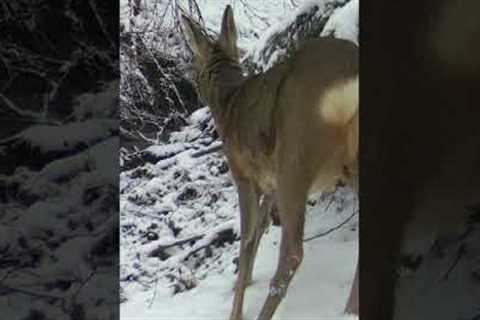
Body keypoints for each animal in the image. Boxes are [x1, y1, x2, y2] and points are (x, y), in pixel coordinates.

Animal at [182, 5, 358, 320]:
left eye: (194, 68)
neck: (229, 103)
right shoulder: (269, 182)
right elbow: (259, 230)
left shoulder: (242, 174)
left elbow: (247, 238)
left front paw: (235, 310)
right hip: (347, 161)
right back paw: (350, 311)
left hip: (295, 154)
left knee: (292, 253)